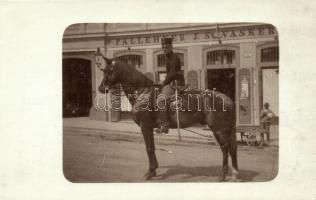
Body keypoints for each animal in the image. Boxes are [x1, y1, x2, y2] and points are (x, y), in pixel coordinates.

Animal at [97, 57, 238, 181]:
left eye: (109, 70)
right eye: (103, 70)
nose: (101, 88)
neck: (142, 92)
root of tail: (228, 99)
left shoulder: (145, 126)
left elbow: (149, 148)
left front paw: (150, 172)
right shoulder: (149, 128)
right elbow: (152, 147)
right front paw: (153, 170)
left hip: (219, 129)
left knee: (225, 147)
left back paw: (223, 175)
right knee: (231, 148)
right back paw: (234, 174)